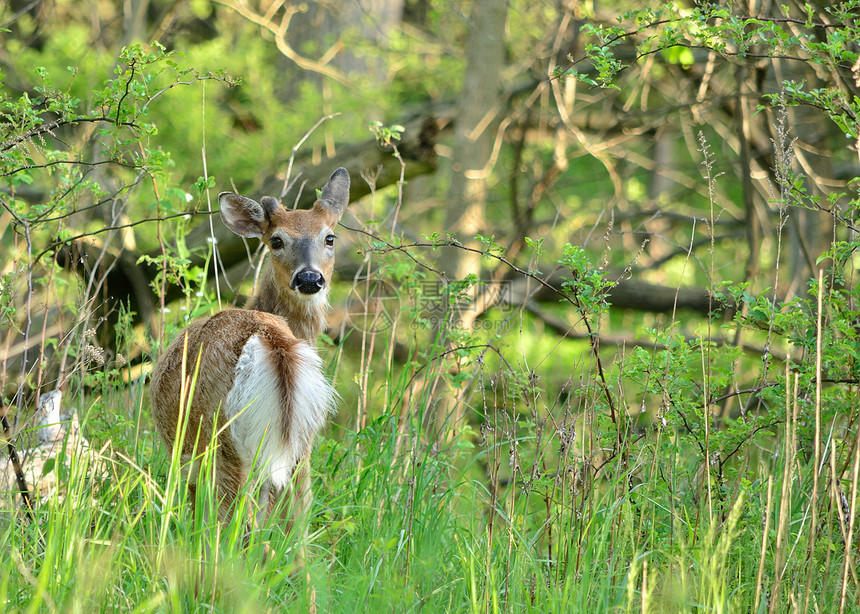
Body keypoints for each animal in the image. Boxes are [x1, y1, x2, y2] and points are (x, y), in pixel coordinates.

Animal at [150, 167, 350, 536]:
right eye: (277, 240)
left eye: (330, 238)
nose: (309, 278)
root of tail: (269, 337)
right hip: (300, 439)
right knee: (296, 519)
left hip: (221, 437)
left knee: (235, 520)